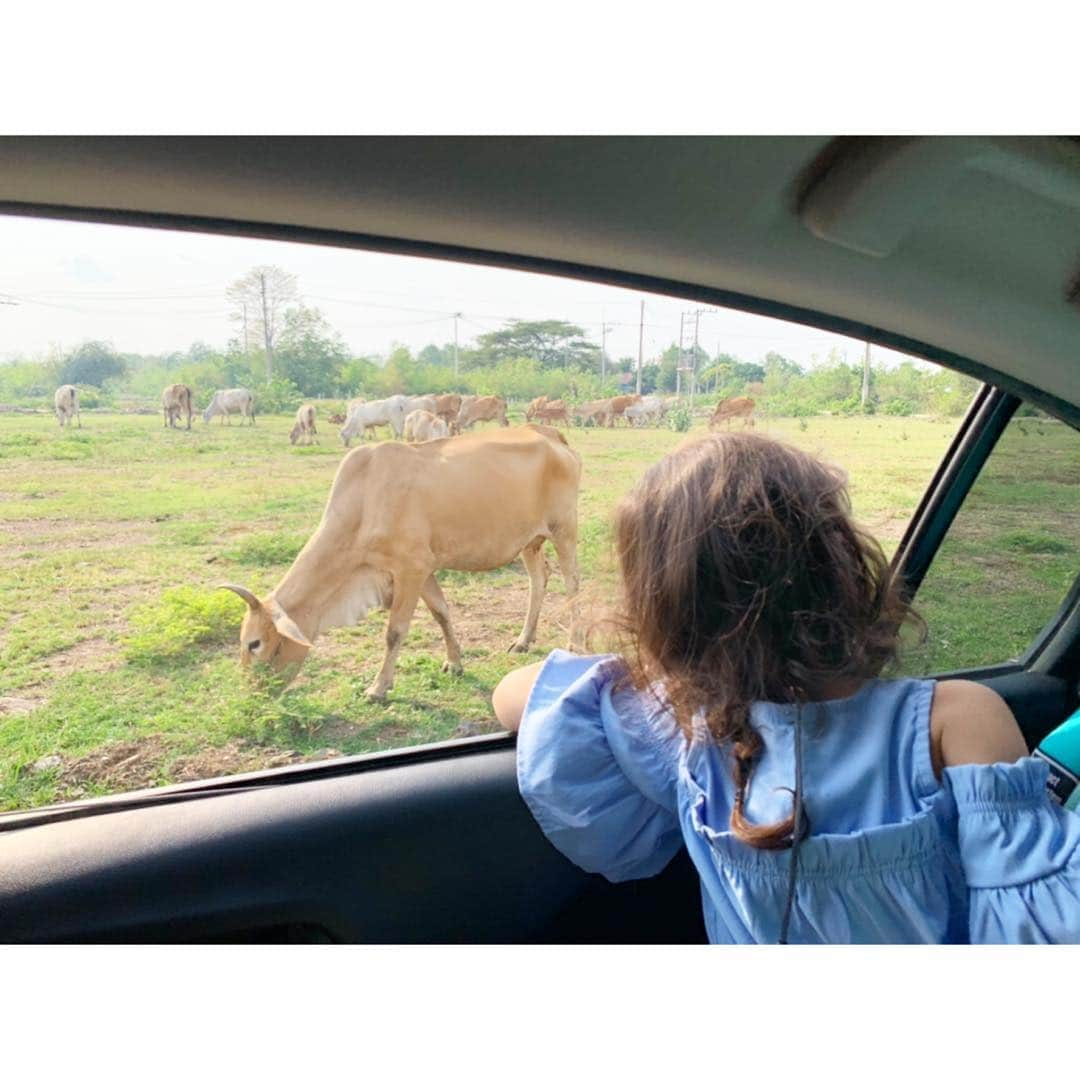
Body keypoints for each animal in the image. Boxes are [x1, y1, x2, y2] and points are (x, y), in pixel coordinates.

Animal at [220, 421, 587, 699]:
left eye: (254, 643)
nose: (253, 693)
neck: (365, 502)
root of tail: (550, 434)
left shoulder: (410, 569)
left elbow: (394, 632)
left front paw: (378, 688)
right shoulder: (423, 570)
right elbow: (441, 613)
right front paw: (454, 663)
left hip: (564, 529)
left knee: (573, 583)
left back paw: (575, 642)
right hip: (529, 541)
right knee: (539, 579)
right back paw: (523, 640)